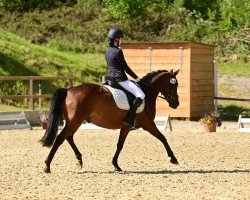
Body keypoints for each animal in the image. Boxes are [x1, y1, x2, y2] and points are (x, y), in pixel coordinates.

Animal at [39, 69, 180, 173]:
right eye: (175, 84)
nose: (176, 104)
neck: (147, 91)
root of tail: (68, 90)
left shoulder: (126, 127)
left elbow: (119, 145)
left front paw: (116, 165)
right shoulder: (148, 124)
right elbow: (163, 138)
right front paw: (173, 158)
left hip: (74, 122)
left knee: (68, 137)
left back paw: (79, 160)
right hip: (75, 121)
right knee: (60, 139)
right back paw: (47, 165)